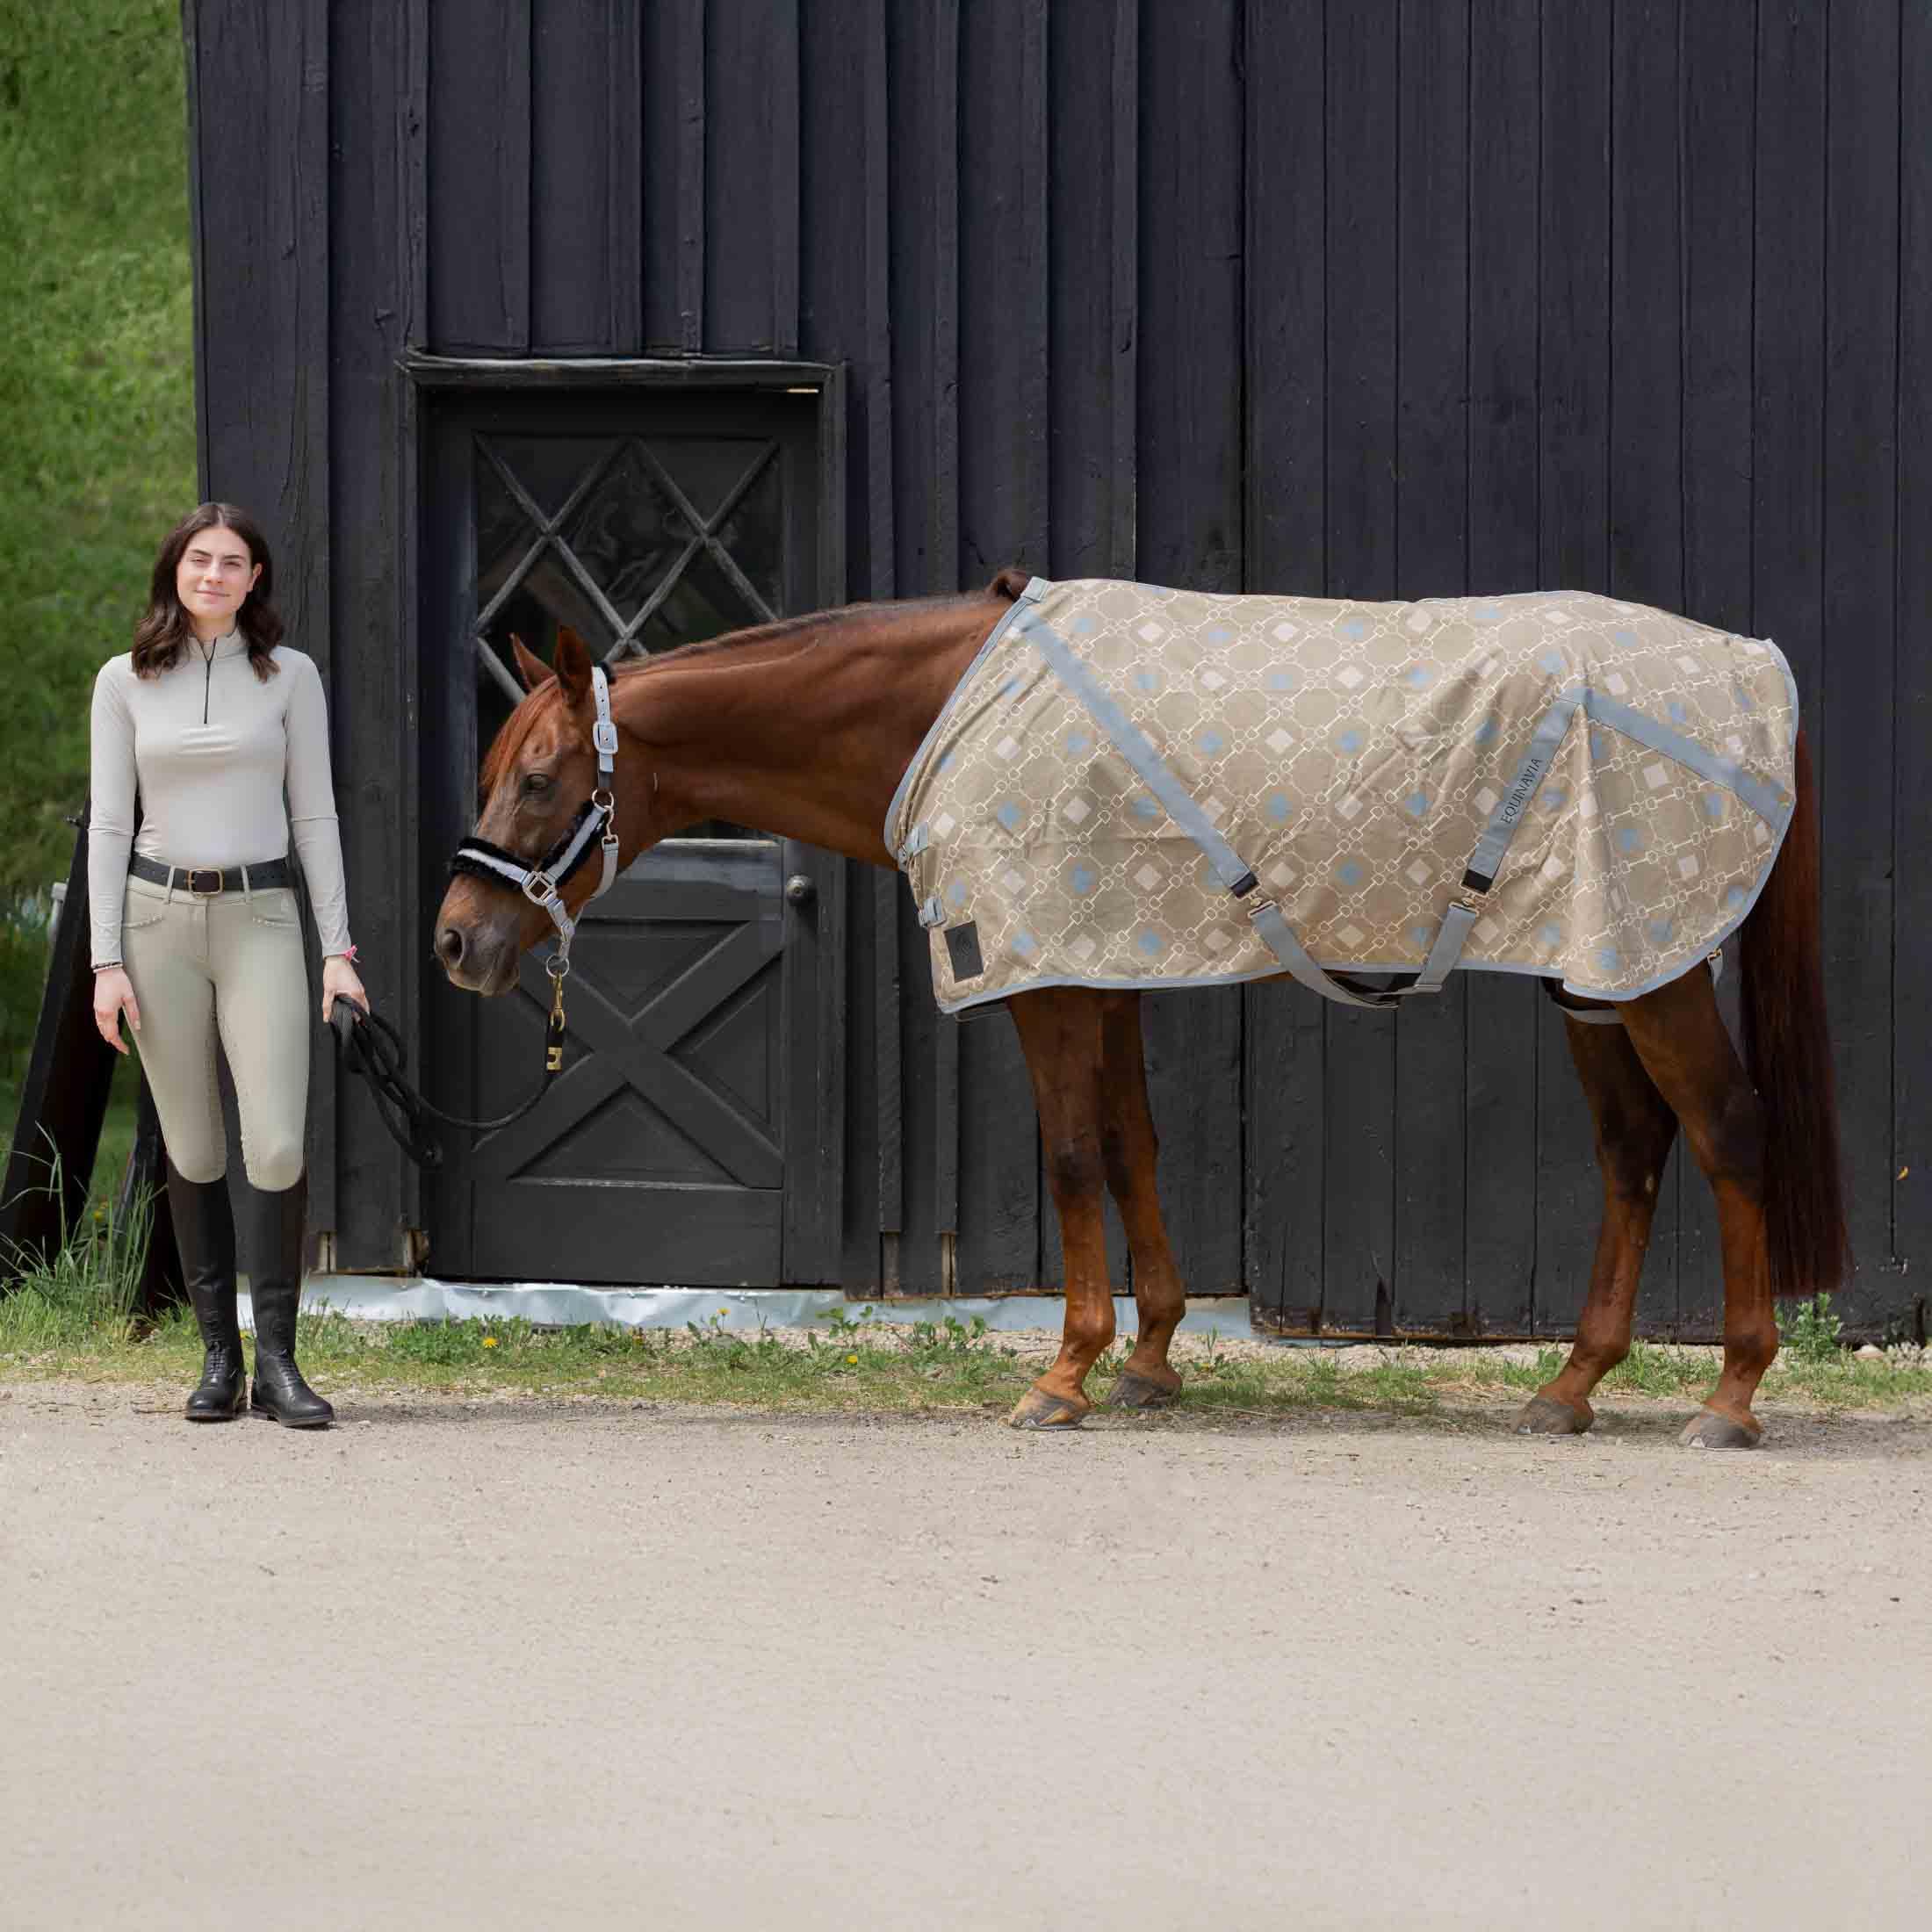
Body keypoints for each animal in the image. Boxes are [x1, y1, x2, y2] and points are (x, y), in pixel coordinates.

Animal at [432, 569, 1848, 1447]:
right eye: (498, 766)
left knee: (1727, 1135)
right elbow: (1131, 1146)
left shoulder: (1043, 973)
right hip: (1594, 978)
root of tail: (1759, 670)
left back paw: (1731, 1394)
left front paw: (1063, 1375)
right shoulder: (1102, 961)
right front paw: (1151, 1359)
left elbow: (1069, 1157)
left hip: (1650, 968)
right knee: (1634, 1149)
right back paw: (1570, 1385)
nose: (455, 941)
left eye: (542, 777)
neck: (951, 710)